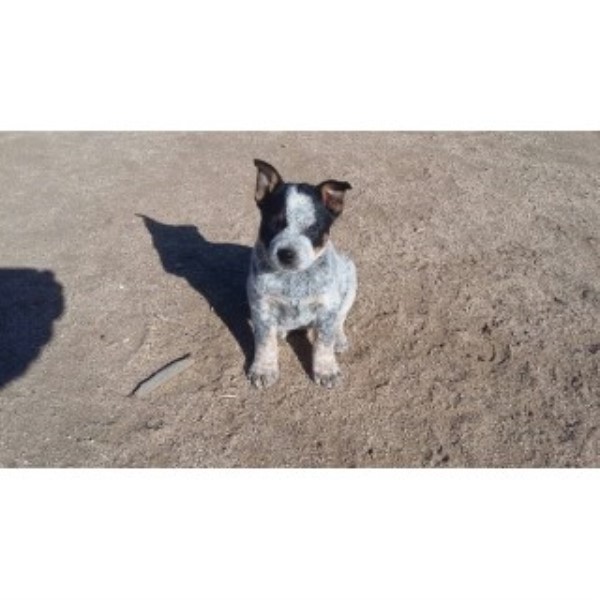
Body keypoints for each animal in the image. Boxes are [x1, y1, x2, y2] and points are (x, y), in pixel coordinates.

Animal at [247, 159, 356, 390]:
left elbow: (324, 342)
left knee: (340, 318)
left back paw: (339, 339)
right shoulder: (261, 306)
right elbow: (264, 341)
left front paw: (326, 370)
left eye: (313, 228)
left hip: (350, 274)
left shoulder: (327, 307)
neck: (293, 278)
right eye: (274, 223)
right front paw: (263, 369)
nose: (286, 253)